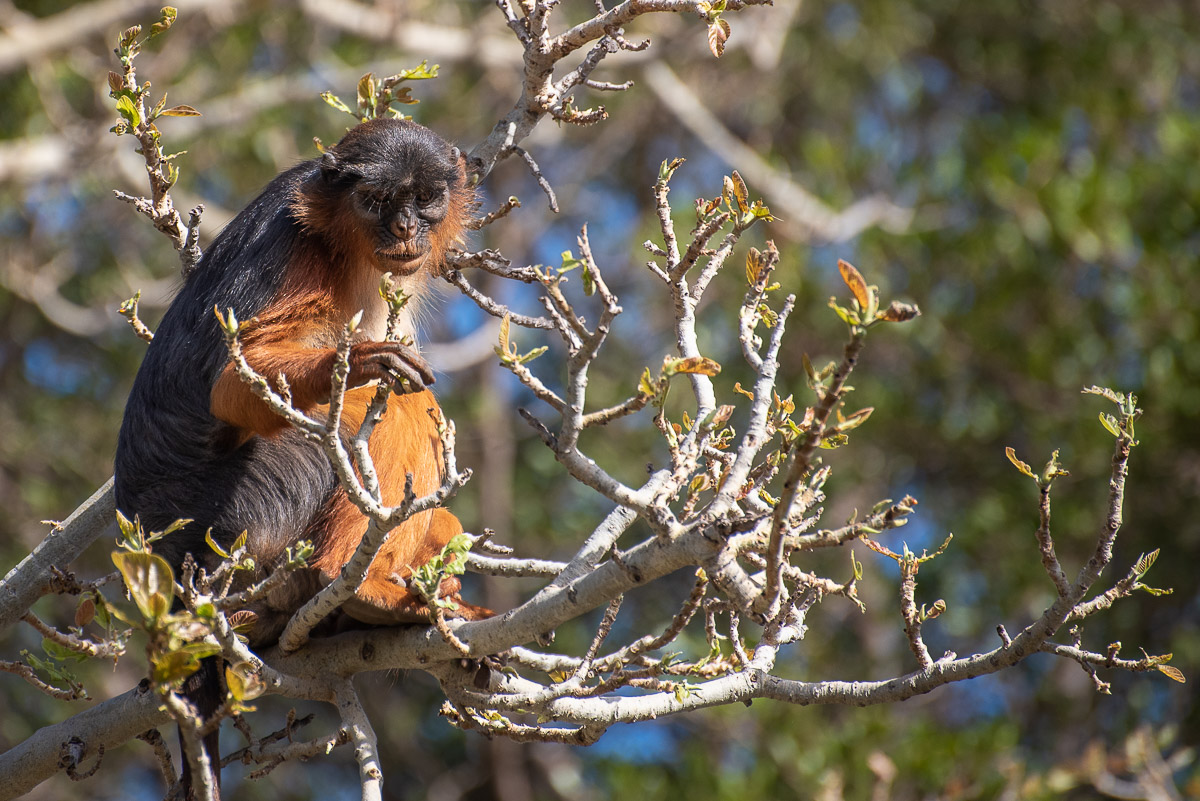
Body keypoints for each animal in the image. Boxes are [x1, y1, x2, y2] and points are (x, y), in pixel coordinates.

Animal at [111, 118, 487, 796]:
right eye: (377, 201)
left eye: (424, 199)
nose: (404, 229)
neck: (345, 241)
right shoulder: (292, 245)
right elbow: (234, 382)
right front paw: (362, 359)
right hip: (242, 518)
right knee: (392, 402)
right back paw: (360, 587)